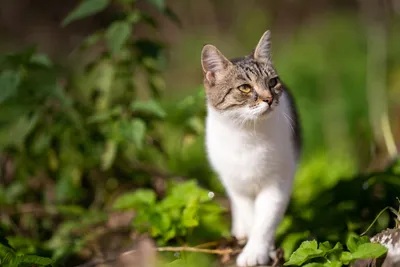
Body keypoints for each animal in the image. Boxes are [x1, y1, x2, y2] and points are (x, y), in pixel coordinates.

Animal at [200, 30, 300, 266]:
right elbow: (251, 217)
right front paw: (253, 244)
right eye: (245, 87)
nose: (269, 99)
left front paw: (257, 251)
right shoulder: (237, 186)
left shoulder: (277, 182)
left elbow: (265, 220)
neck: (247, 134)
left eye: (273, 82)